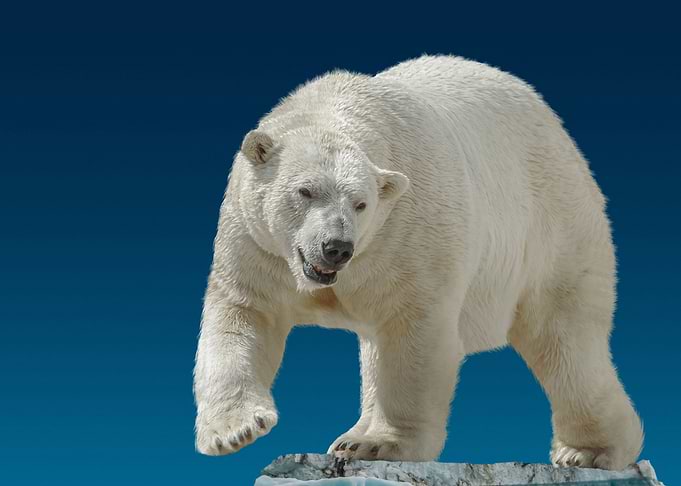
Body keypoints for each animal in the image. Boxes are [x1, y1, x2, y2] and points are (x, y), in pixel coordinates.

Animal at [193, 55, 643, 470]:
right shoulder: (256, 242)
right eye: (305, 191)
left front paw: (380, 444)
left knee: (564, 338)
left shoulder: (405, 232)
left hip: (551, 228)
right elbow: (246, 314)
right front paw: (235, 430)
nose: (336, 247)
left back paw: (591, 450)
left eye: (361, 203)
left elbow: (412, 329)